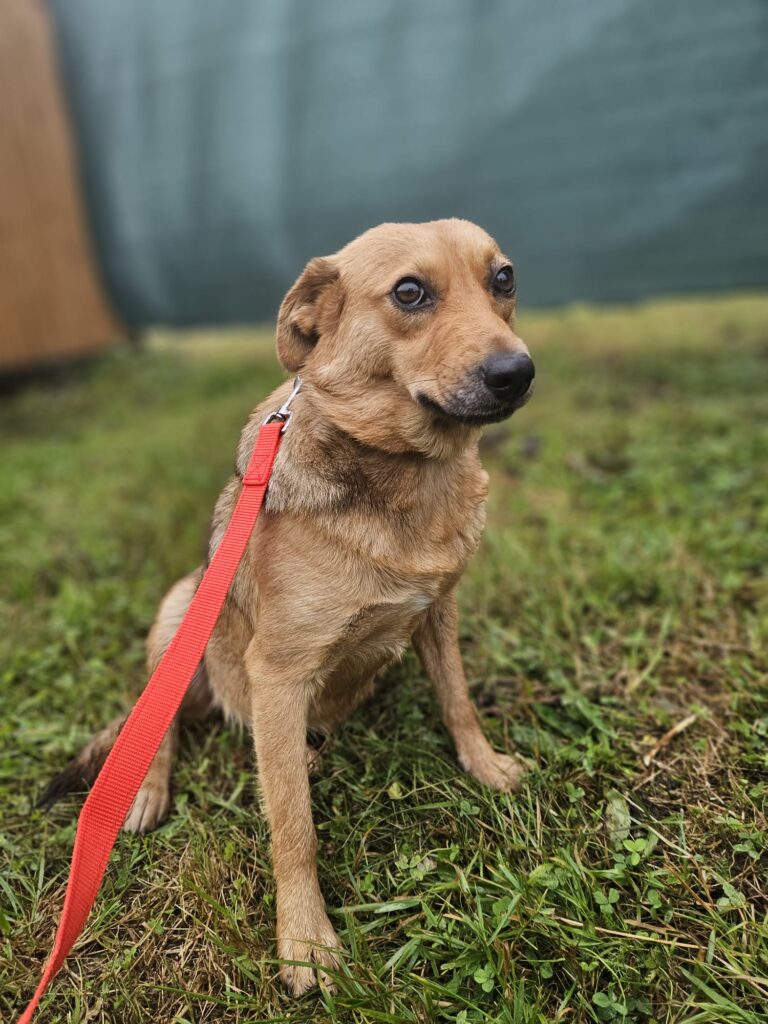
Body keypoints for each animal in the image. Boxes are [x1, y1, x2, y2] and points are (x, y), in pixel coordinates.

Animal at [41, 218, 535, 994]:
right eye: (410, 292)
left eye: (504, 278)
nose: (518, 372)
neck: (406, 478)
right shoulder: (278, 673)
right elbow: (294, 832)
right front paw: (305, 941)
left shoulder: (438, 611)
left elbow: (458, 703)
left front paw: (485, 768)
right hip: (181, 610)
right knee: (158, 724)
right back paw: (148, 789)